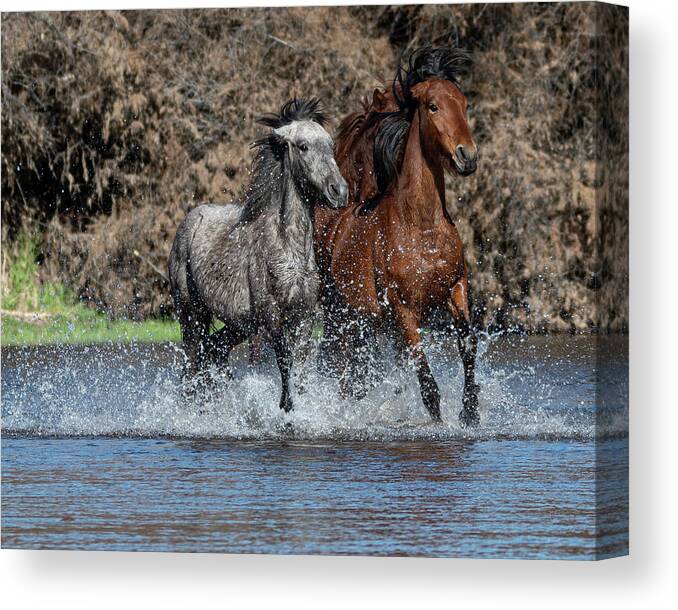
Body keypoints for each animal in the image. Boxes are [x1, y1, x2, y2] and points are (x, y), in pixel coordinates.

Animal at [170, 100, 350, 410]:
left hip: (238, 325)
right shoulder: (272, 315)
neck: (290, 251)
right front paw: (286, 408)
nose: (339, 192)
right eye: (302, 146)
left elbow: (301, 364)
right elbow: (284, 359)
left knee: (214, 351)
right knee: (193, 363)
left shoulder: (304, 316)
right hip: (191, 313)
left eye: (330, 144)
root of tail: (190, 221)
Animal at [316, 47, 480, 426]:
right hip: (338, 315)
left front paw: (470, 410)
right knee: (340, 367)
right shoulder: (403, 308)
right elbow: (424, 372)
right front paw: (438, 419)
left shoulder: (456, 288)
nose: (467, 156)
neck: (421, 226)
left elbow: (467, 343)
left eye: (465, 104)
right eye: (433, 106)